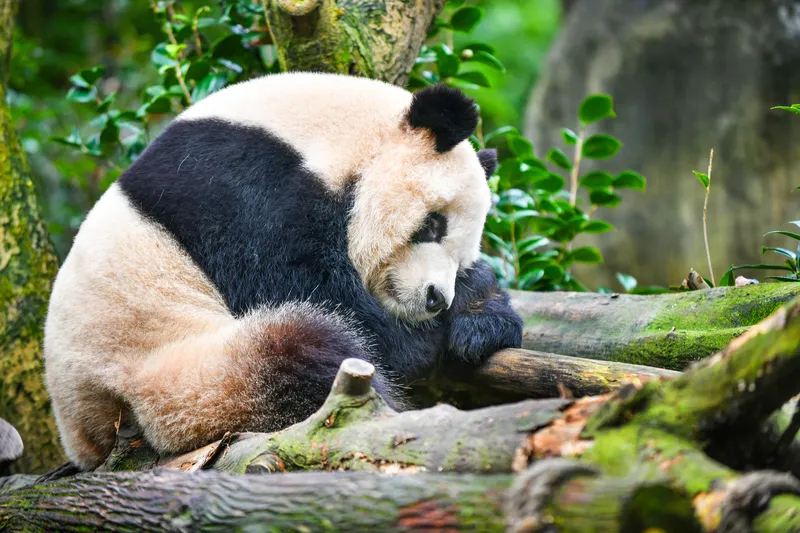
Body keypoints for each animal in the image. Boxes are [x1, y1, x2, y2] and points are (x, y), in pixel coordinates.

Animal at [43, 72, 523, 471]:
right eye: (432, 225)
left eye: (461, 255)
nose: (434, 298)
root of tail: (85, 437)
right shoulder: (238, 188)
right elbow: (312, 291)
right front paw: (431, 335)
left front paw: (482, 317)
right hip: (177, 377)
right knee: (301, 351)